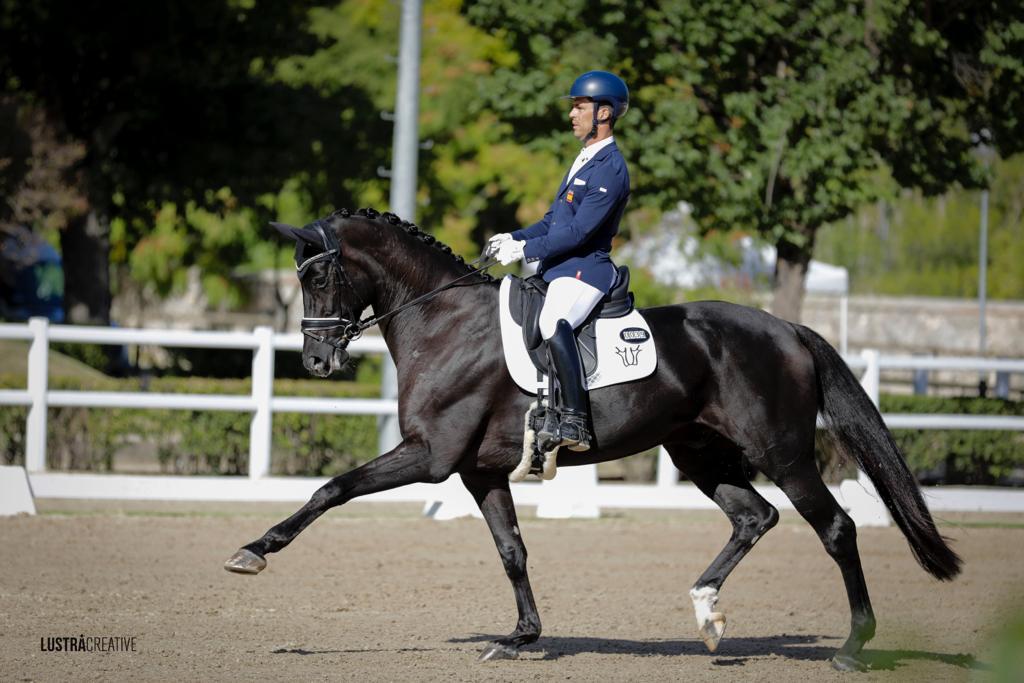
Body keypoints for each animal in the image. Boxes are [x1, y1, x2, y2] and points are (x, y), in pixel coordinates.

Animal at [224, 209, 958, 671]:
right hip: (698, 451)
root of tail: (787, 330)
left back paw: (851, 646)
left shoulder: (430, 458)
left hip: (783, 452)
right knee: (755, 516)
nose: (317, 362)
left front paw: (253, 551)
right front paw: (520, 637)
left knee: (834, 527)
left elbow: (333, 487)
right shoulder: (478, 472)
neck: (444, 321)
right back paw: (707, 613)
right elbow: (512, 550)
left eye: (318, 275)